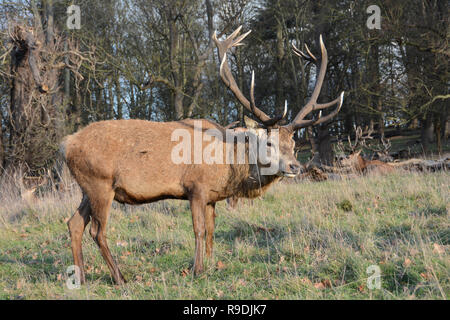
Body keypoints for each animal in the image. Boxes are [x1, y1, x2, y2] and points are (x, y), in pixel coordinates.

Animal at [60, 26, 344, 284]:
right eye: (270, 143)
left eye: (293, 144)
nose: (295, 167)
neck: (229, 163)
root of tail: (66, 144)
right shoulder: (195, 187)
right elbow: (198, 229)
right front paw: (196, 270)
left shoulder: (212, 196)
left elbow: (211, 231)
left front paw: (210, 264)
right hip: (100, 183)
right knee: (97, 230)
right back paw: (120, 277)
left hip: (88, 187)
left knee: (74, 223)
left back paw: (81, 278)